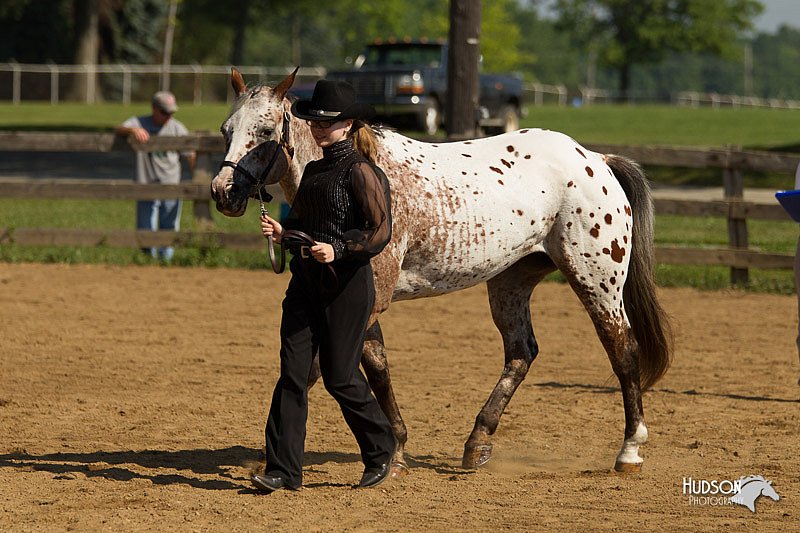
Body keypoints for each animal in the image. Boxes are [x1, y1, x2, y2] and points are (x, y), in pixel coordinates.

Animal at [209, 67, 672, 478]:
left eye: (265, 131)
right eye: (226, 129)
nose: (223, 192)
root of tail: (596, 159)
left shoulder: (367, 298)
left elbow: (320, 368)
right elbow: (370, 365)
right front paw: (394, 450)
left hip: (597, 280)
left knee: (623, 350)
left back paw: (629, 451)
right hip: (511, 281)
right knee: (521, 353)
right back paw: (477, 444)